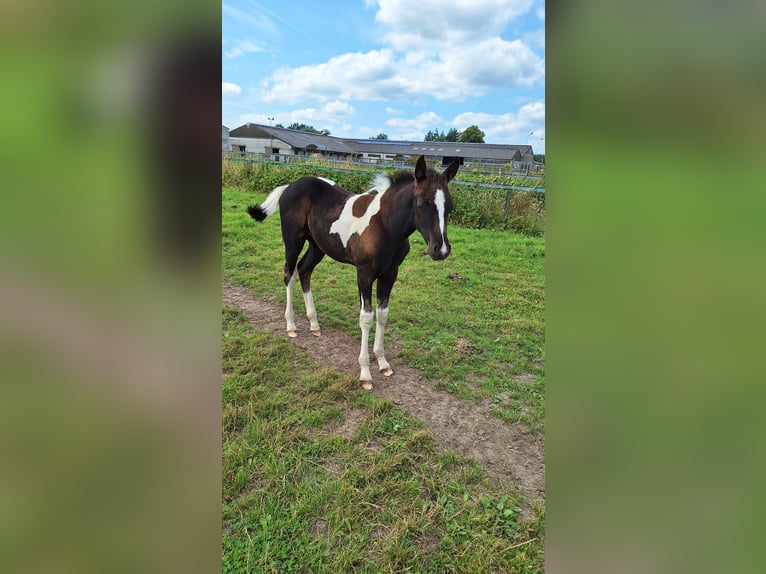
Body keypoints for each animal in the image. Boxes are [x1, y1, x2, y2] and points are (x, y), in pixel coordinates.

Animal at [249, 156, 460, 392]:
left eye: (450, 206)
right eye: (423, 203)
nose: (441, 250)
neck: (385, 225)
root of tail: (289, 186)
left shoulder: (390, 274)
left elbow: (383, 314)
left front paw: (383, 363)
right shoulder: (364, 274)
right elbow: (366, 318)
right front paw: (365, 374)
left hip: (318, 246)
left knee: (304, 271)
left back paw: (314, 324)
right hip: (293, 241)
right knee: (289, 274)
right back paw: (291, 325)